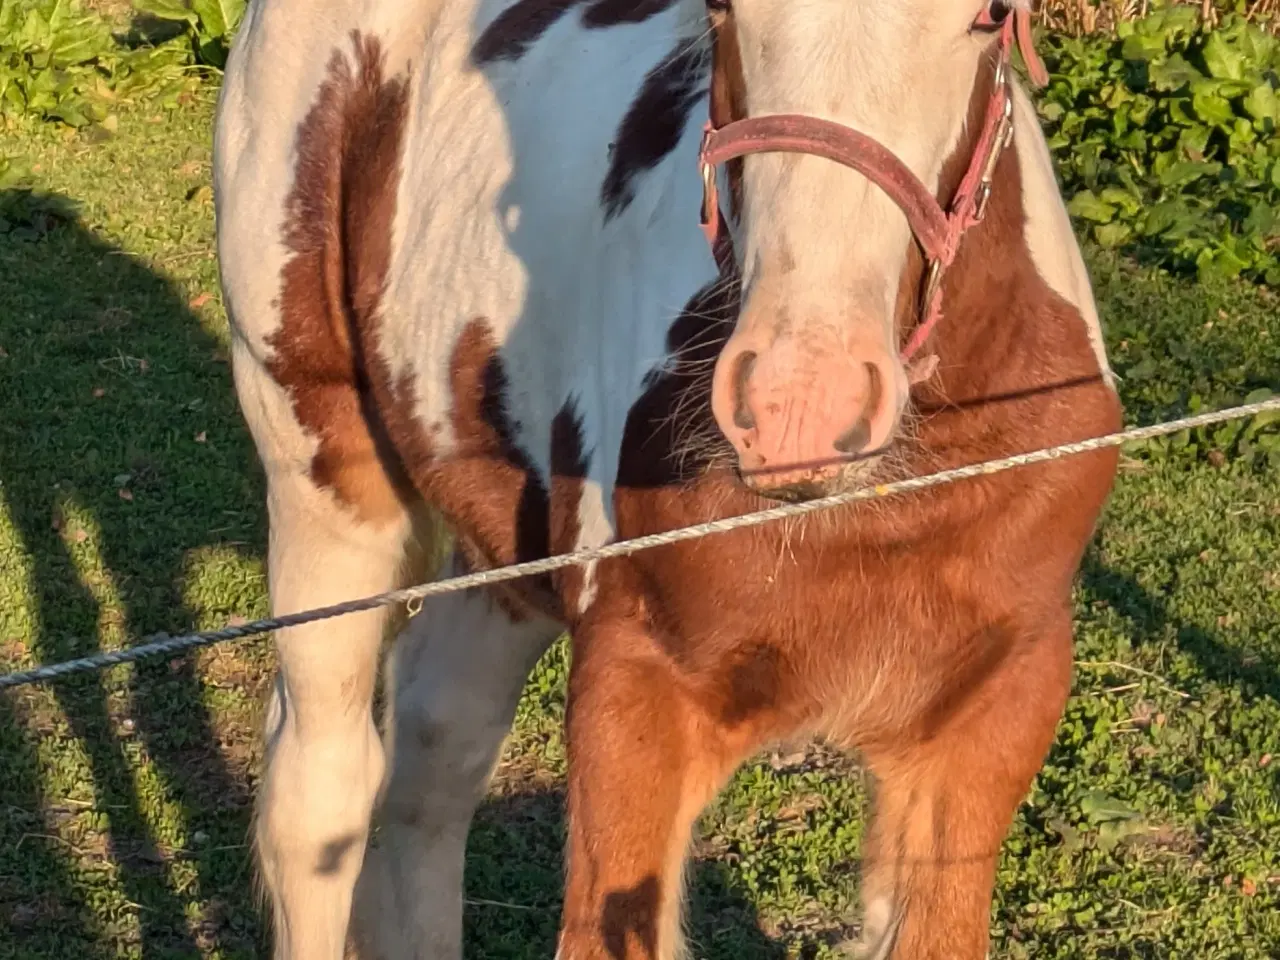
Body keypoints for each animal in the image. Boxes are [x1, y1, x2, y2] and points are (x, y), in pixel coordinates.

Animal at [212, 0, 1121, 957]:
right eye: (722, 12)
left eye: (989, 18)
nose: (801, 405)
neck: (880, 509)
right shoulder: (633, 688)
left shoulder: (992, 716)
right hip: (320, 473)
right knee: (324, 795)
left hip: (510, 535)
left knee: (437, 743)